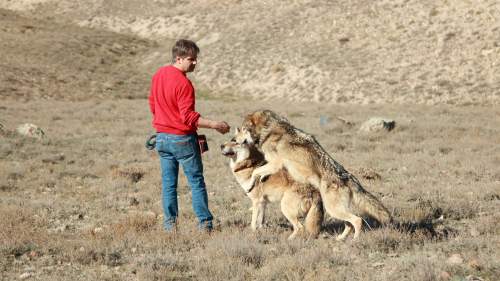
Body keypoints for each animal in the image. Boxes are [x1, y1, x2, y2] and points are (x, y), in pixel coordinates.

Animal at [236, 109, 392, 241]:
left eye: (243, 129)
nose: (235, 140)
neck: (267, 128)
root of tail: (347, 177)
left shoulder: (275, 163)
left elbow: (255, 171)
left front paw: (250, 185)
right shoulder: (273, 165)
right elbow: (260, 172)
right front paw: (261, 178)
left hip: (332, 209)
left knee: (357, 220)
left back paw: (355, 240)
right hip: (336, 210)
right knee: (349, 224)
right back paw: (340, 239)